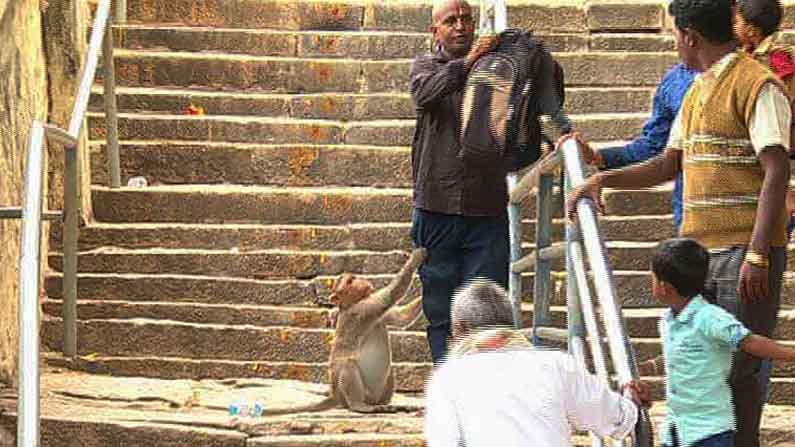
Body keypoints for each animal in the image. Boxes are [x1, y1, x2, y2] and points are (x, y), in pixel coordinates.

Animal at [238, 248, 430, 424]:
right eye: (351, 280)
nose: (363, 281)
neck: (353, 302)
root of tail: (335, 395)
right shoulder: (364, 309)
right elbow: (392, 295)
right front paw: (417, 257)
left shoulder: (375, 312)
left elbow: (402, 318)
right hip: (346, 388)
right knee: (347, 366)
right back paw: (360, 406)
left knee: (388, 373)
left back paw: (389, 406)